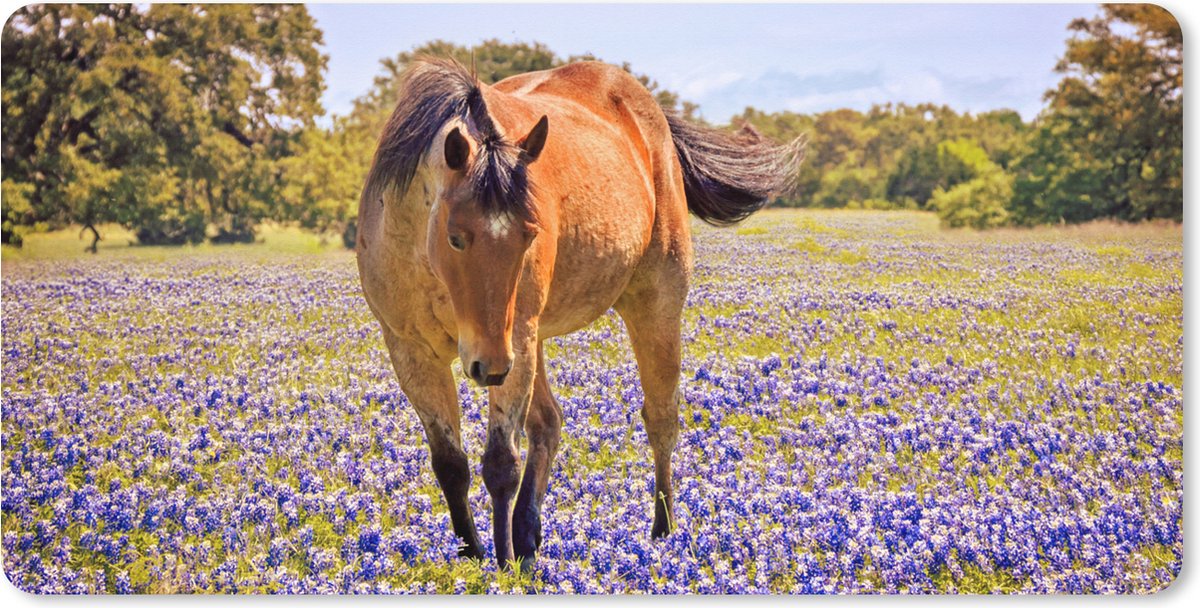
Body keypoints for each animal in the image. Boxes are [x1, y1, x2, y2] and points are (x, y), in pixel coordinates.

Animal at [356, 57, 802, 569]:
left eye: (530, 234)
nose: (488, 367)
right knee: (548, 423)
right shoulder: (410, 349)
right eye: (455, 237)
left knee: (661, 419)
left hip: (652, 300)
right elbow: (451, 464)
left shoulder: (512, 336)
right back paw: (529, 537)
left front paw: (502, 567)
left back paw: (662, 532)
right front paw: (471, 554)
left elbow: (500, 463)